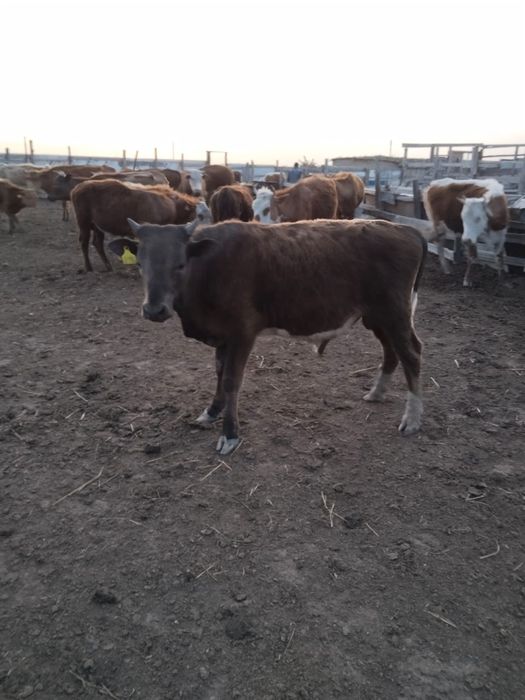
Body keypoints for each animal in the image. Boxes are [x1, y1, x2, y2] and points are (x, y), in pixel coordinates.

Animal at [70, 179, 199, 272]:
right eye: (193, 215)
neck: (171, 205)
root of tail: (78, 187)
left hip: (97, 227)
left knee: (98, 243)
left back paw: (108, 267)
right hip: (84, 223)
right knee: (84, 242)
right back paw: (89, 268)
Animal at [123, 217, 427, 455]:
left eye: (180, 264)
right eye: (140, 264)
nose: (154, 309)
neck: (211, 266)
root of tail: (404, 229)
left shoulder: (243, 332)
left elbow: (232, 380)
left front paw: (230, 433)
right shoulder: (222, 335)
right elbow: (219, 373)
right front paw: (211, 411)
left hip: (394, 313)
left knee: (411, 354)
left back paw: (412, 419)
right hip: (377, 317)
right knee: (391, 351)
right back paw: (377, 392)